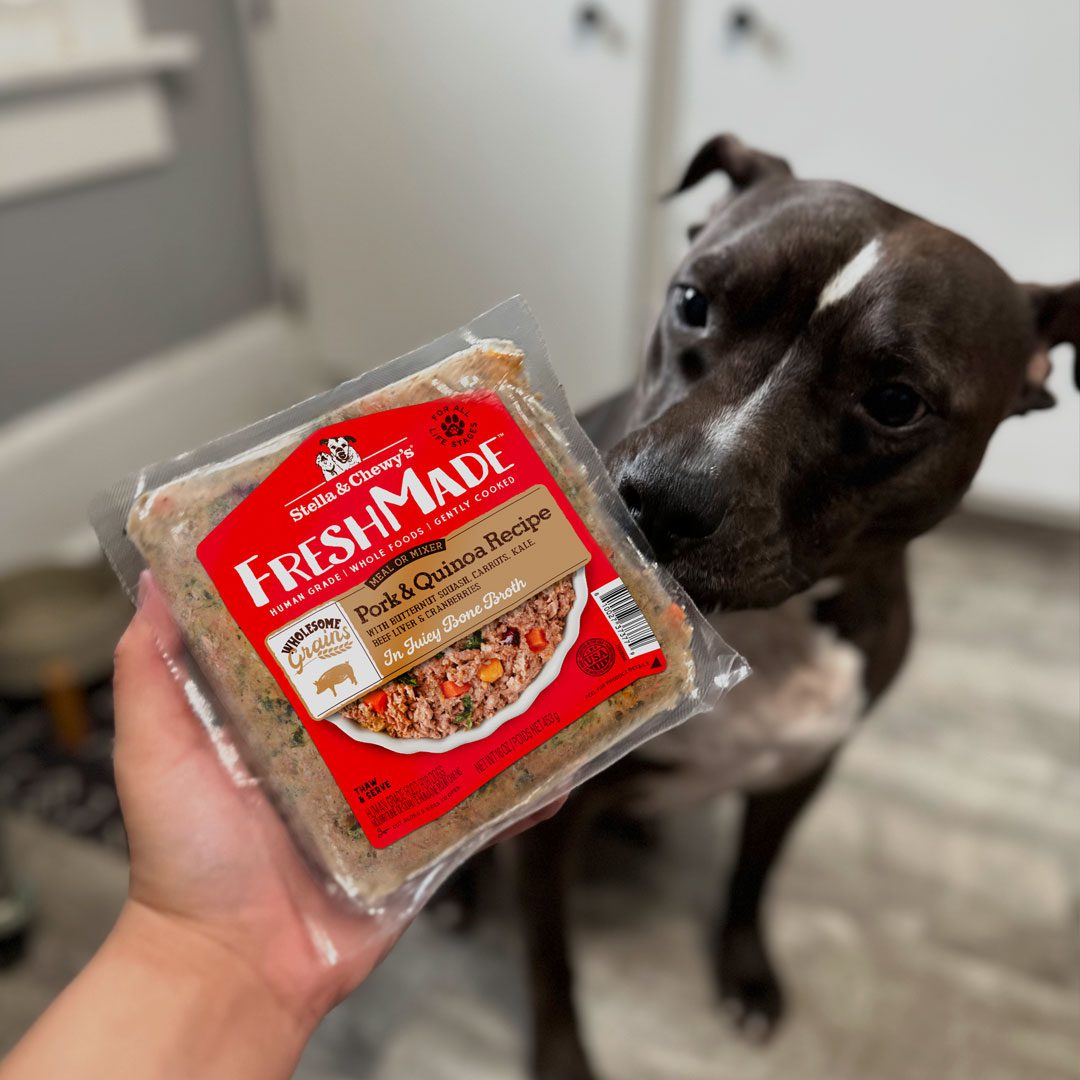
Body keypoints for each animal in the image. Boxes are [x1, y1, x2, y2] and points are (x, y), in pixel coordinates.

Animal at [436, 135, 1071, 1080]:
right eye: (693, 302)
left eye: (896, 402)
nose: (660, 498)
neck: (753, 631)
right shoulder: (550, 830)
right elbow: (551, 960)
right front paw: (563, 1057)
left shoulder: (802, 771)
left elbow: (751, 879)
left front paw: (746, 974)